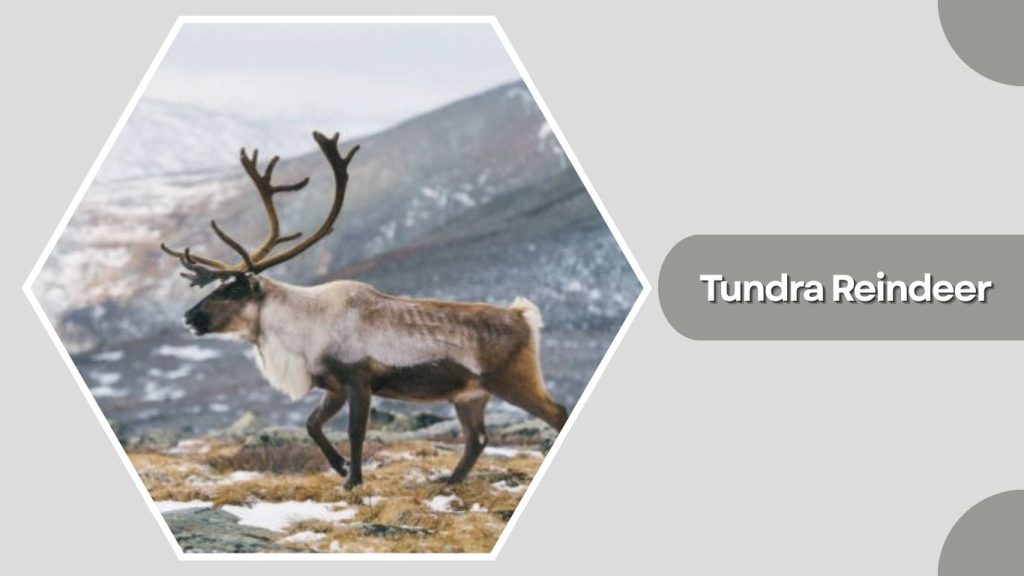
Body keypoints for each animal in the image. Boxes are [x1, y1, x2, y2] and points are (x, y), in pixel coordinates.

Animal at [160, 131, 569, 490]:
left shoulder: (359, 379)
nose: (188, 317)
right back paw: (448, 480)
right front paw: (341, 467)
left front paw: (353, 480)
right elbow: (311, 424)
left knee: (556, 413)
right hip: (470, 394)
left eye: (232, 291)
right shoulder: (333, 385)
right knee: (477, 438)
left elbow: (356, 432)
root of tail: (523, 315)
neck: (302, 328)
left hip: (515, 379)